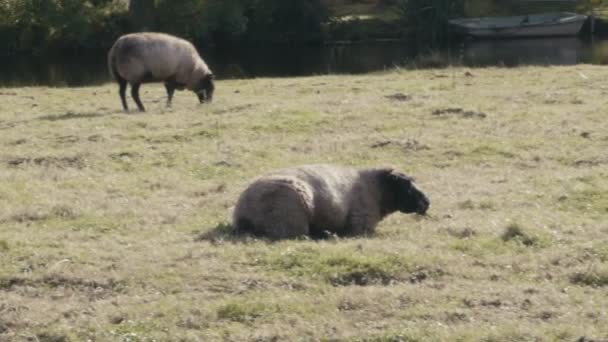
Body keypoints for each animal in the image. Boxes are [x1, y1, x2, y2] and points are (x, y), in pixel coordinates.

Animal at [230, 164, 430, 239]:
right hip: (291, 219)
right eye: (407, 185)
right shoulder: (360, 226)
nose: (427, 202)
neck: (375, 188)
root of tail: (243, 211)